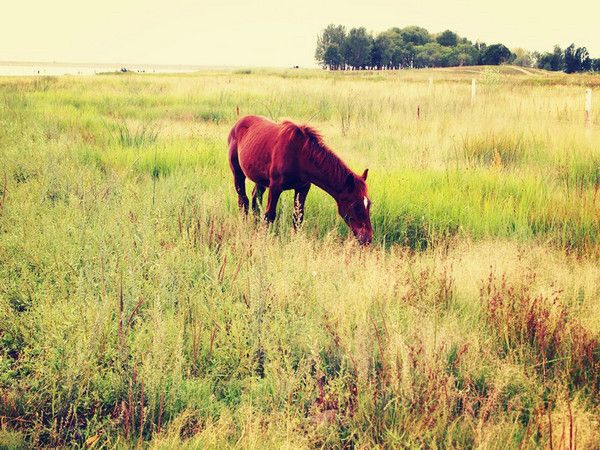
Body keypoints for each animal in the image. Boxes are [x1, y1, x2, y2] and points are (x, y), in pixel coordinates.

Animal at [229, 114, 372, 244]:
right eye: (355, 205)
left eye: (369, 204)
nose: (367, 239)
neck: (299, 154)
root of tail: (238, 123)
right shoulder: (275, 187)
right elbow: (269, 215)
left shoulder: (303, 187)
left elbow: (298, 217)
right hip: (238, 173)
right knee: (243, 201)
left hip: (261, 179)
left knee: (255, 200)